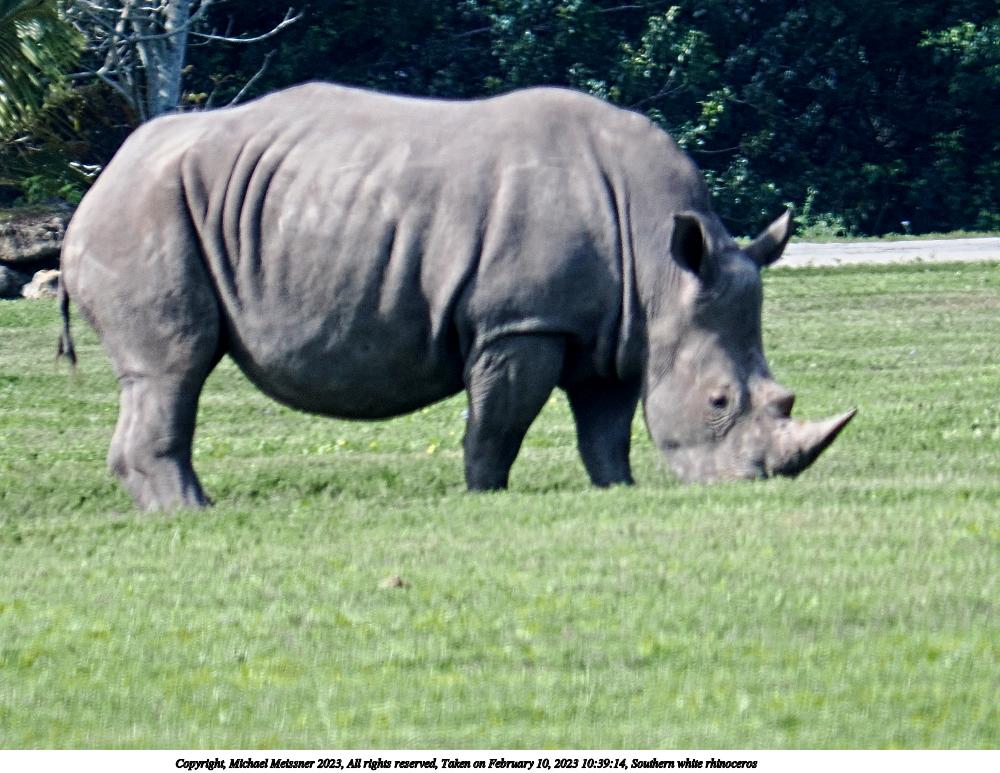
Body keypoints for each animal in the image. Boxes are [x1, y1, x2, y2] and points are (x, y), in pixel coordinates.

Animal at [58, 83, 854, 510]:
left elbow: (606, 427)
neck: (664, 268)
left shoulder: (611, 330)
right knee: (173, 368)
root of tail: (105, 174)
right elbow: (496, 424)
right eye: (719, 401)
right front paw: (484, 497)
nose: (749, 484)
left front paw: (617, 489)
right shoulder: (521, 322)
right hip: (146, 210)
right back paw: (191, 512)